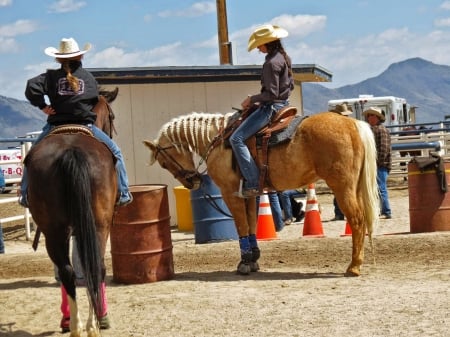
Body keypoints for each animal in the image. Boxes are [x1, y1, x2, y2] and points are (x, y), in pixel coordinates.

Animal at [24, 88, 118, 334]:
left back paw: (75, 326)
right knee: (94, 267)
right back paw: (92, 324)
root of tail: (71, 151)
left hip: (54, 230)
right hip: (98, 225)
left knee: (66, 271)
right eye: (112, 116)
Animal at [144, 110, 380, 276]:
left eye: (163, 162)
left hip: (342, 186)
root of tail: (352, 124)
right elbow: (250, 226)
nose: (192, 182)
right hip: (354, 187)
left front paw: (244, 263)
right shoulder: (249, 195)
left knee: (357, 220)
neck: (218, 141)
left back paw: (354, 266)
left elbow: (241, 226)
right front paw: (253, 260)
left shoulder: (231, 194)